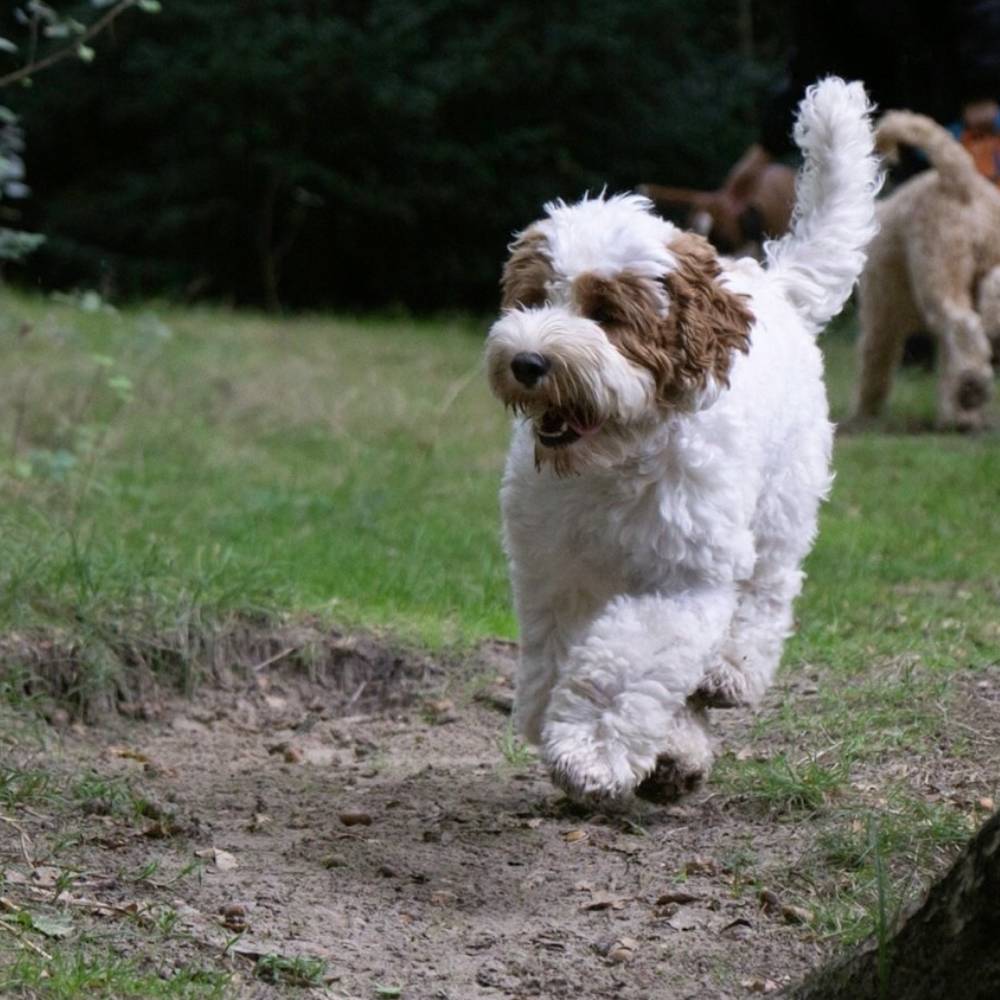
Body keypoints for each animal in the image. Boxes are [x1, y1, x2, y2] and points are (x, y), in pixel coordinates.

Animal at [488, 80, 880, 812]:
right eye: (530, 298)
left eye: (607, 314)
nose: (527, 362)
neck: (615, 462)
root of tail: (773, 283)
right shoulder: (556, 571)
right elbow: (562, 659)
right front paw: (666, 750)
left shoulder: (684, 576)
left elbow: (624, 663)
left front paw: (592, 751)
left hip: (781, 503)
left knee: (766, 592)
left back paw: (729, 671)